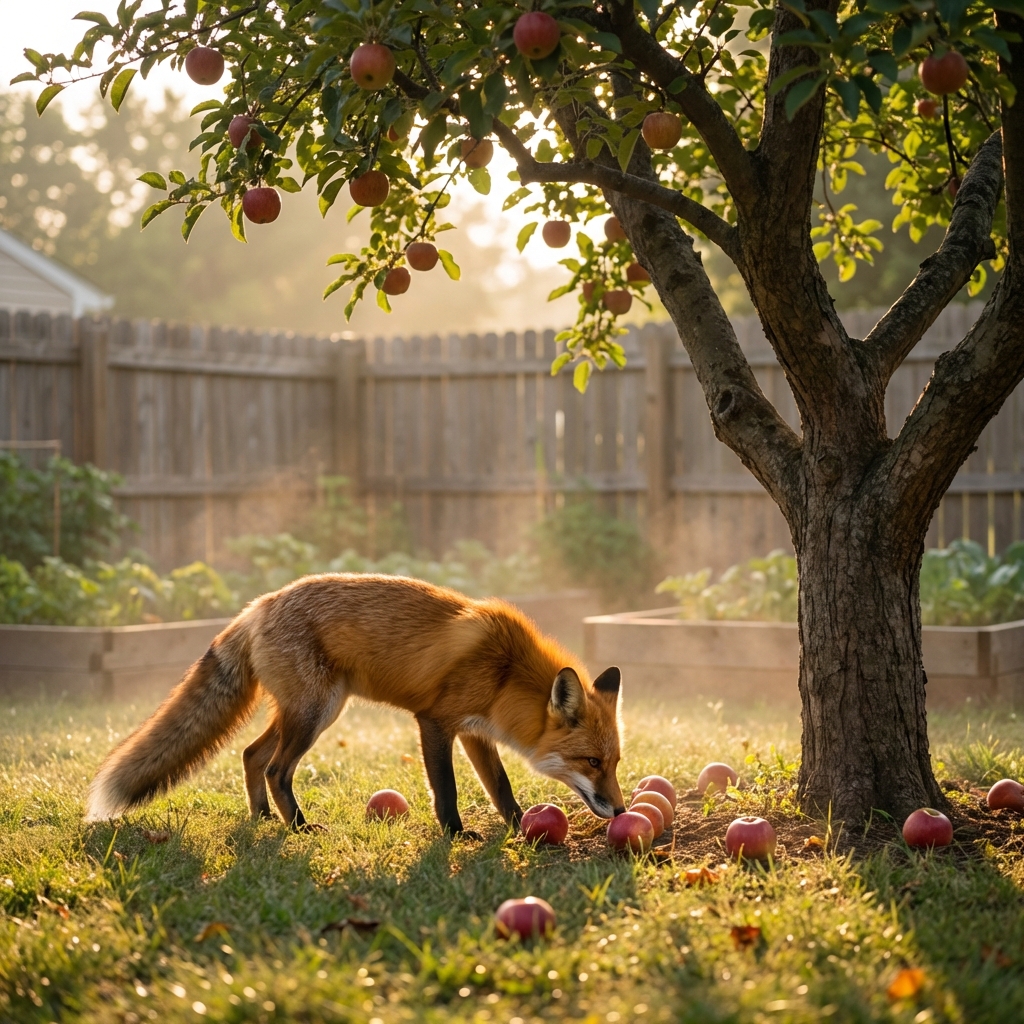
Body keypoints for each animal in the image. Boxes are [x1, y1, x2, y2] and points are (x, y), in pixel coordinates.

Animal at [85, 573, 626, 836]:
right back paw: (299, 828)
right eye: (591, 762)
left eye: (616, 763)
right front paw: (455, 835)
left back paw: (263, 819)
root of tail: (258, 605)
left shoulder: (475, 731)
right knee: (276, 768)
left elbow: (501, 787)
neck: (505, 671)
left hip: (307, 710)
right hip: (316, 713)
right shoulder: (435, 721)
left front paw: (518, 828)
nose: (621, 810)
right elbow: (446, 789)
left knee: (251, 755)